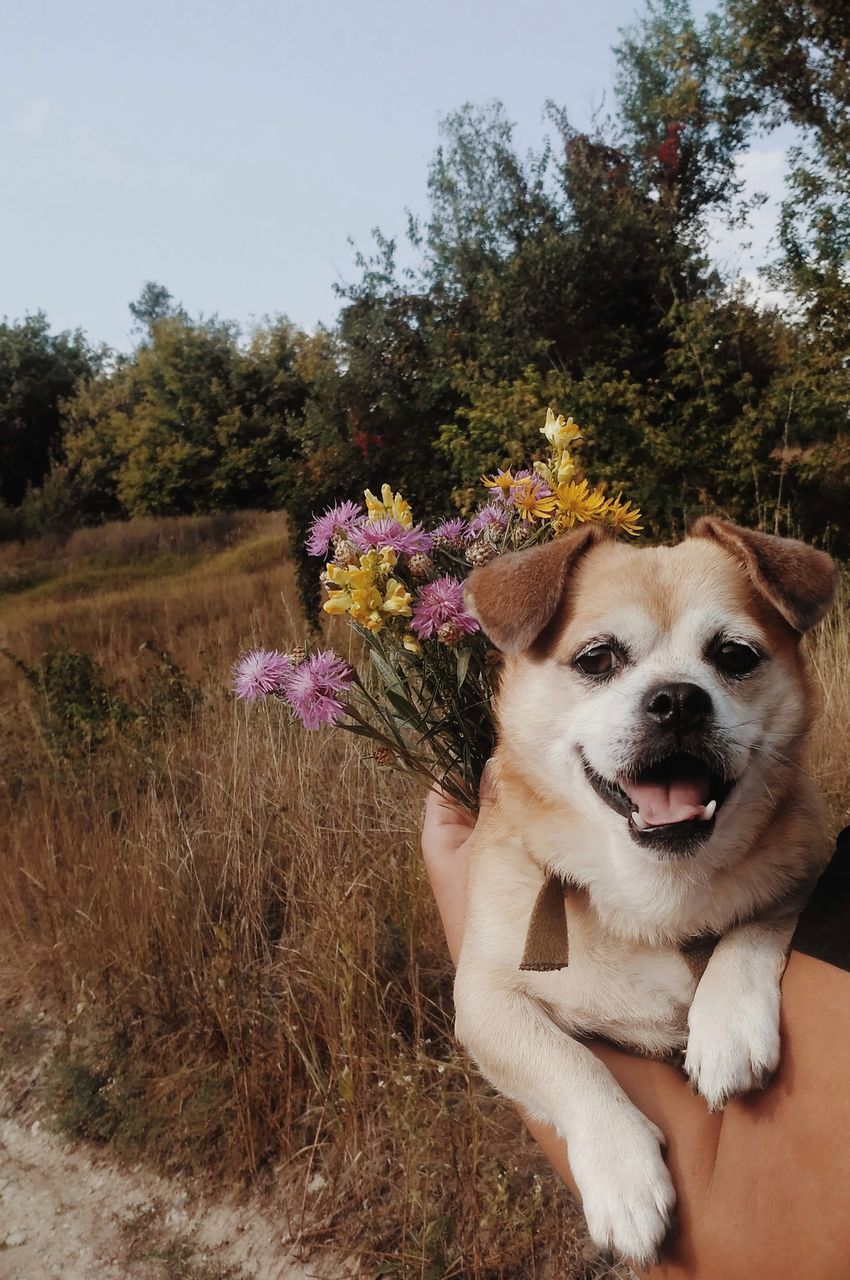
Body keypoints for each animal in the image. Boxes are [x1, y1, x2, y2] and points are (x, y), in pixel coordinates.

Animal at [458, 519, 834, 1269]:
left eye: (734, 656)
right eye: (598, 658)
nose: (679, 698)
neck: (649, 895)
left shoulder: (806, 864)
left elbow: (757, 918)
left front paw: (725, 1019)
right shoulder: (482, 999)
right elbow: (564, 1059)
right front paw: (623, 1173)